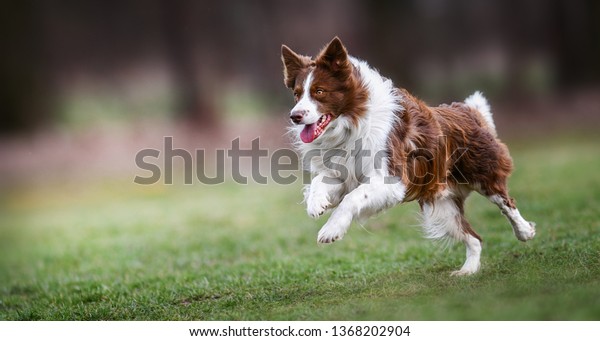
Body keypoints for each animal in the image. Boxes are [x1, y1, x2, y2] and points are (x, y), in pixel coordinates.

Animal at [280, 37, 536, 274]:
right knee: (474, 237)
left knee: (506, 203)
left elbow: (352, 198)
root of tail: (467, 111)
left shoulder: (391, 179)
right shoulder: (343, 174)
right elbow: (319, 182)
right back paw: (468, 271)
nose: (295, 116)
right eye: (297, 94)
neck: (351, 122)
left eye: (319, 92)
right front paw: (317, 204)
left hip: (483, 174)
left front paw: (331, 230)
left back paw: (525, 231)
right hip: (442, 206)